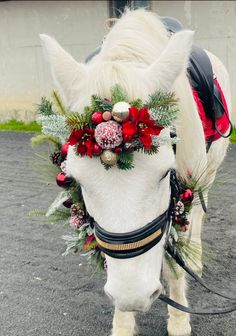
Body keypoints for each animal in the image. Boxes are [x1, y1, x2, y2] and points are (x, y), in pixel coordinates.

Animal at [40, 8, 230, 336]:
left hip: (207, 175)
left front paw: (178, 322)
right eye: (77, 180)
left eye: (166, 174)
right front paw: (123, 323)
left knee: (197, 217)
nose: (134, 296)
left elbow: (175, 266)